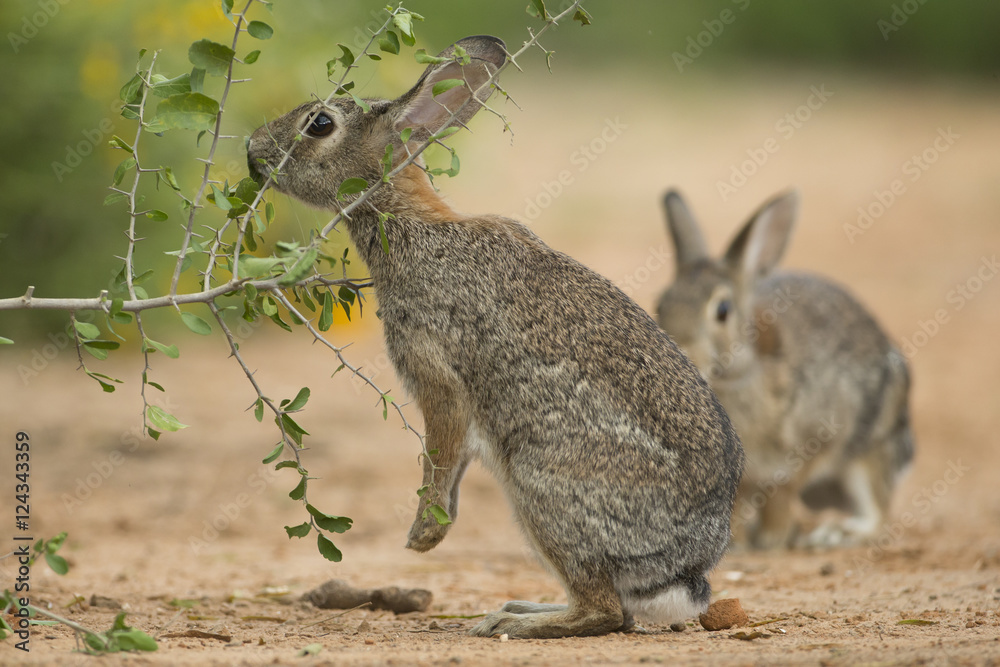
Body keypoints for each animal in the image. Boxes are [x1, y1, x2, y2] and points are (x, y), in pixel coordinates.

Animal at [246, 36, 743, 638]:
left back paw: (512, 623)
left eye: (319, 124)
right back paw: (520, 609)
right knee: (617, 612)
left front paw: (423, 536)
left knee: (603, 611)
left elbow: (441, 451)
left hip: (541, 484)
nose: (251, 152)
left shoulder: (434, 369)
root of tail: (680, 573)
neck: (408, 221)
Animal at [654, 189, 914, 550]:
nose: (676, 349)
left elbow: (781, 492)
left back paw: (835, 533)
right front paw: (737, 543)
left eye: (722, 310)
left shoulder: (813, 444)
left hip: (872, 445)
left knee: (877, 510)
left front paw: (771, 540)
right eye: (660, 305)